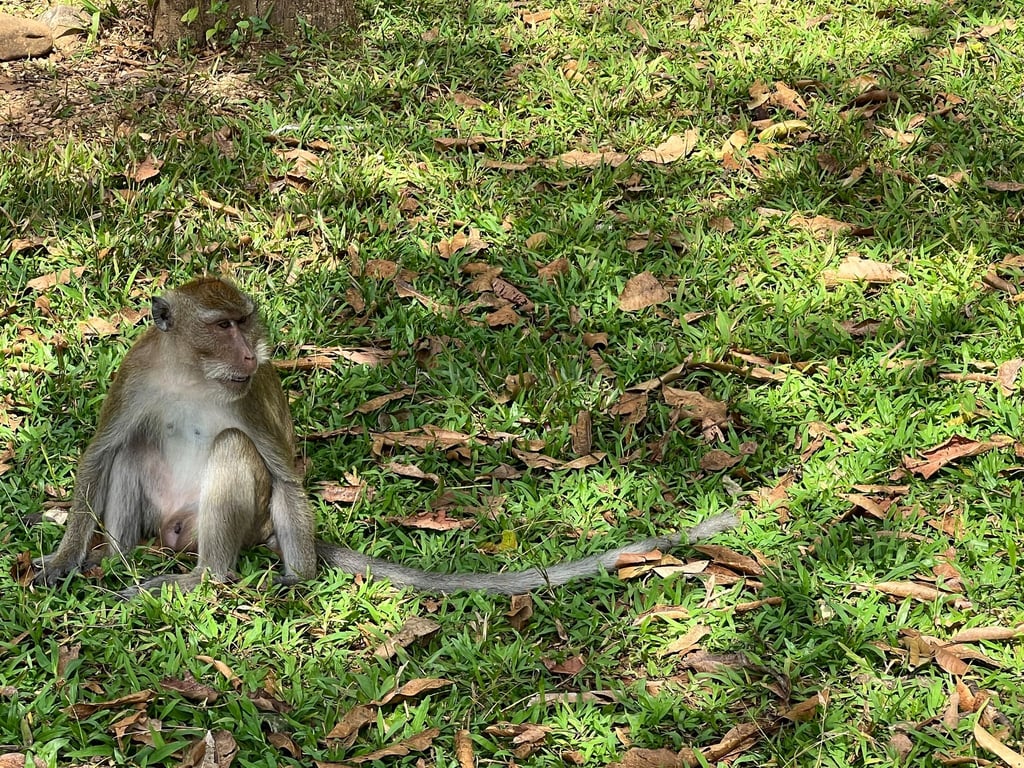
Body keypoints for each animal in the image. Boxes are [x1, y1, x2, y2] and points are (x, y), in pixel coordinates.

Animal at [32, 276, 738, 597]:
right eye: (222, 325)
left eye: (244, 322)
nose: (253, 349)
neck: (190, 373)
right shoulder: (137, 373)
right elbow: (100, 453)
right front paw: (61, 562)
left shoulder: (248, 391)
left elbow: (282, 471)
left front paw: (299, 579)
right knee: (132, 450)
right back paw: (116, 559)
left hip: (238, 522)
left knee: (236, 454)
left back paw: (205, 577)